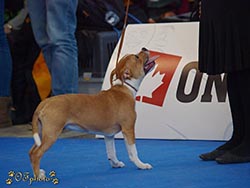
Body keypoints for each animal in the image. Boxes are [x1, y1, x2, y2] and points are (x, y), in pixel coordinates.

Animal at [28, 47, 154, 178]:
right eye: (136, 57)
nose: (144, 48)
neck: (125, 88)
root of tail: (45, 102)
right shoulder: (128, 129)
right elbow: (133, 151)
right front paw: (141, 165)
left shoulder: (108, 135)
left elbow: (111, 151)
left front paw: (115, 163)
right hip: (51, 133)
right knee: (37, 154)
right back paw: (38, 175)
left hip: (42, 132)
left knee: (31, 152)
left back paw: (38, 171)